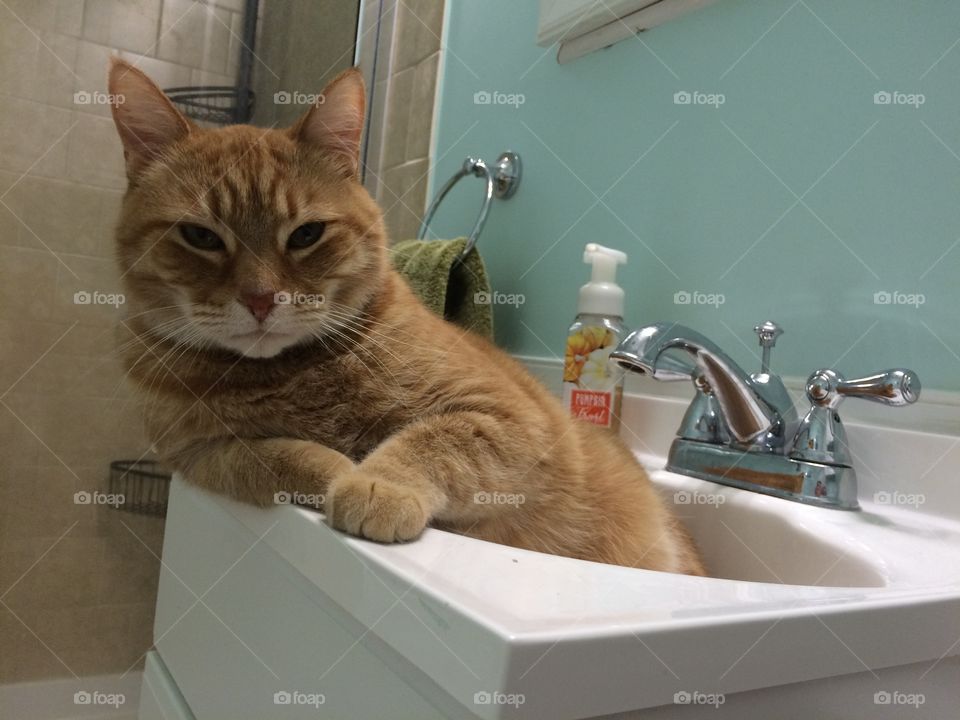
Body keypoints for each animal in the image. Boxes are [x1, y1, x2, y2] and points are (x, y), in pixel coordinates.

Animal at [107, 57, 704, 572]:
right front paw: (340, 468)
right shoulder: (201, 457)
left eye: (306, 235)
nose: (260, 299)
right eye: (200, 237)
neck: (288, 376)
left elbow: (430, 440)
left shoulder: (508, 417)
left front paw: (375, 483)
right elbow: (280, 455)